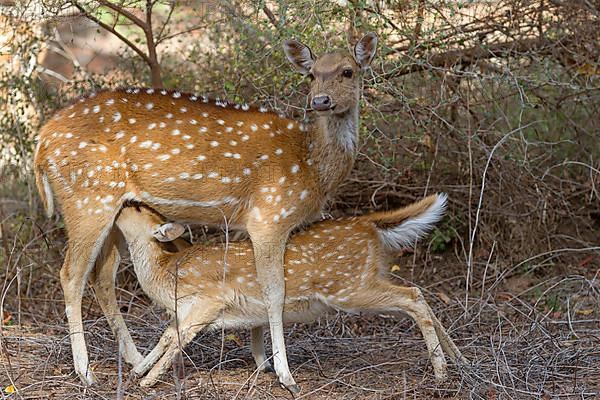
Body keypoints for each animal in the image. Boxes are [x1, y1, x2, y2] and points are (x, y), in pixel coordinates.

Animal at [32, 33, 378, 390]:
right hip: (87, 199)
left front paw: (261, 361)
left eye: (348, 71)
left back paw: (136, 361)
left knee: (102, 276)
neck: (311, 168)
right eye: (311, 75)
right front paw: (285, 374)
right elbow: (275, 292)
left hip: (111, 212)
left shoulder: (244, 223)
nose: (320, 101)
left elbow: (253, 282)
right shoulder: (270, 216)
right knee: (71, 274)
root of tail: (41, 142)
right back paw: (85, 371)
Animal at [115, 194, 466, 388]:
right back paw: (458, 359)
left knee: (413, 297)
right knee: (418, 292)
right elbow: (166, 334)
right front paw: (139, 370)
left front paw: (147, 380)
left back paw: (441, 372)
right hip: (365, 280)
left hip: (348, 287)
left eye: (136, 208)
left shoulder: (208, 301)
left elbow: (175, 337)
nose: (122, 200)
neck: (166, 273)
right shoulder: (187, 311)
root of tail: (368, 225)